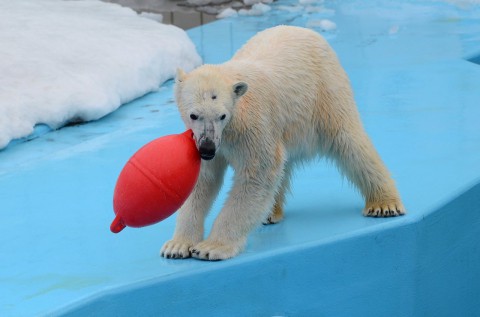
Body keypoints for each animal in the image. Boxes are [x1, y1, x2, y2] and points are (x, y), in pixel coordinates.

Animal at [161, 25, 404, 260]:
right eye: (194, 115)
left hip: (325, 91)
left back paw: (384, 204)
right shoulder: (203, 140)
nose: (208, 148)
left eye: (222, 115)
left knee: (349, 142)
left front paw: (211, 247)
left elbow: (258, 173)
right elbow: (203, 180)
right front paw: (177, 245)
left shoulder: (252, 126)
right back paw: (270, 212)